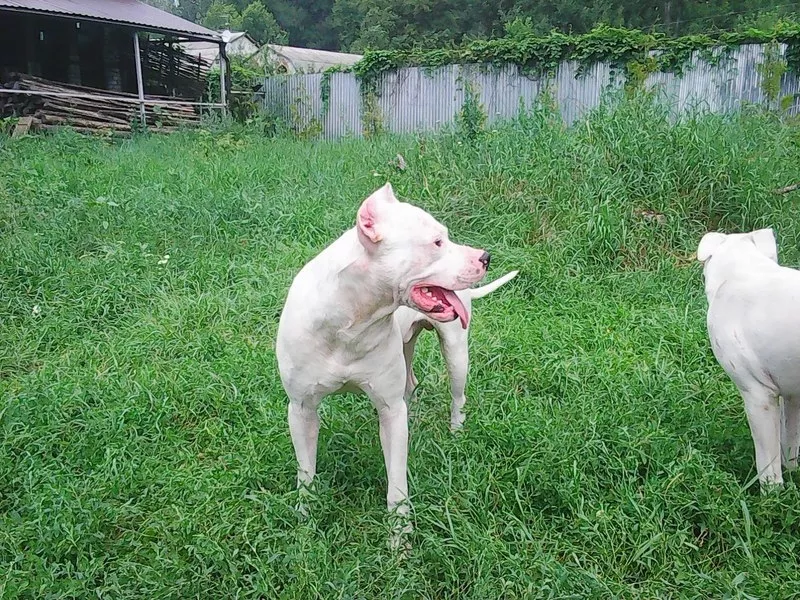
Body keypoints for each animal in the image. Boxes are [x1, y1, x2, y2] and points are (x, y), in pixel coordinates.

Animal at [276, 183, 488, 540]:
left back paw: (456, 432)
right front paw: (305, 520)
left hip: (456, 351)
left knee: (457, 396)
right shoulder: (301, 410)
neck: (351, 320)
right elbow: (305, 472)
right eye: (437, 242)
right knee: (410, 387)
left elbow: (397, 482)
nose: (485, 257)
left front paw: (400, 536)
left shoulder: (388, 409)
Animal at [692, 227, 800, 486]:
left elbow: (769, 466)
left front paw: (772, 495)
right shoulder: (793, 396)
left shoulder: (758, 395)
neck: (744, 271)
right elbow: (790, 444)